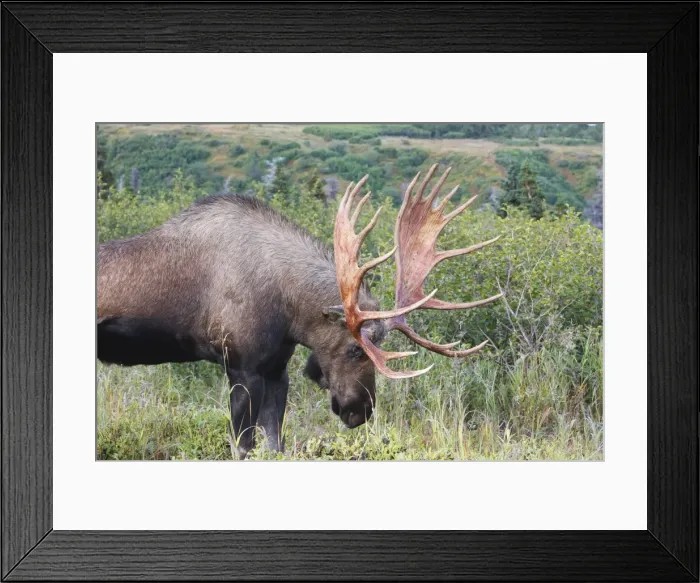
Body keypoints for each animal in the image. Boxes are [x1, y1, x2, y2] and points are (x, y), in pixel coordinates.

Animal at [97, 164, 502, 457]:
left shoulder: (277, 370)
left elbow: (276, 445)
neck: (289, 312)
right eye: (355, 348)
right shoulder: (241, 368)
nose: (360, 412)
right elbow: (242, 448)